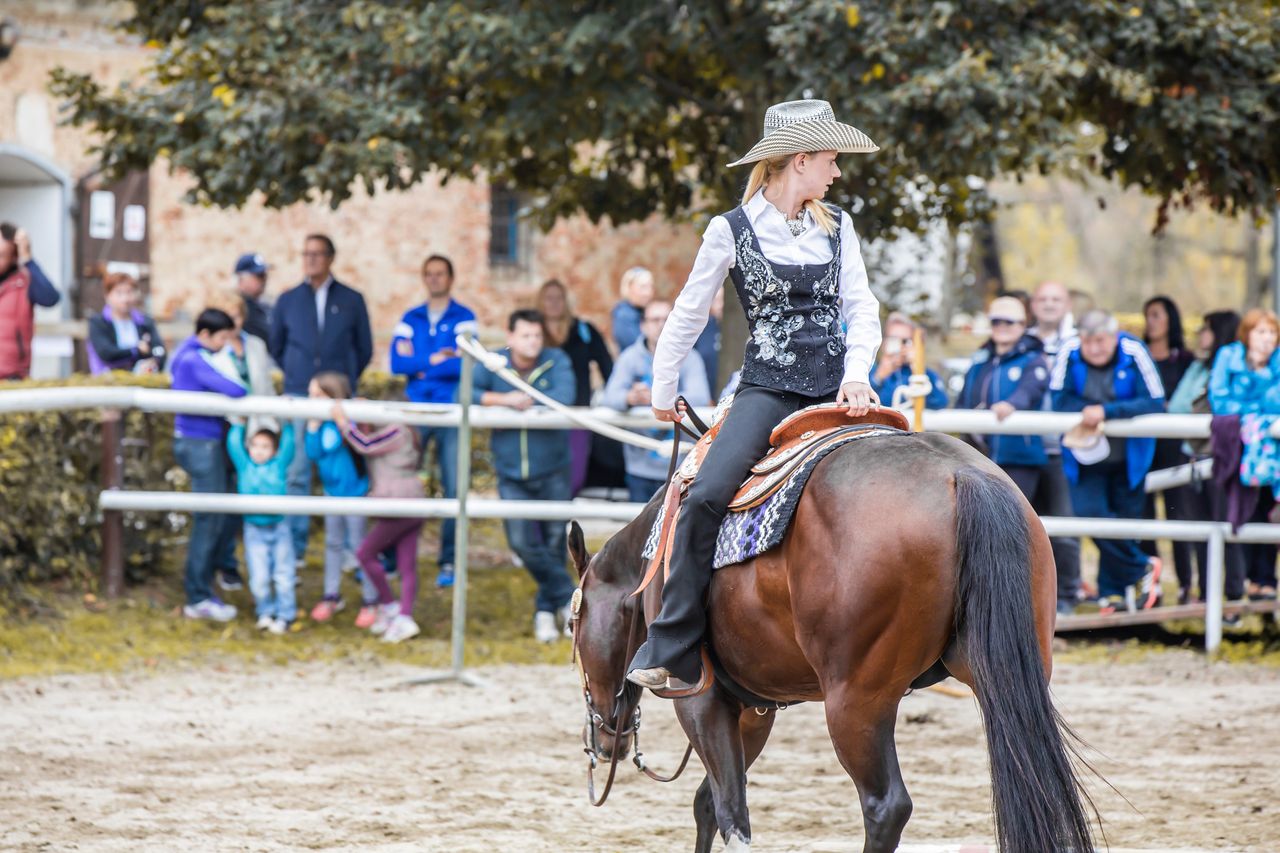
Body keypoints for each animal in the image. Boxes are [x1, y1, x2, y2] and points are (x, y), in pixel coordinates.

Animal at [573, 427, 1100, 850]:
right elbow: (710, 802)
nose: (603, 740)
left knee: (885, 806)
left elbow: (730, 813)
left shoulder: (699, 700)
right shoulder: (754, 709)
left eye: (574, 628)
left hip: (856, 701)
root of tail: (962, 475)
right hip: (1004, 676)